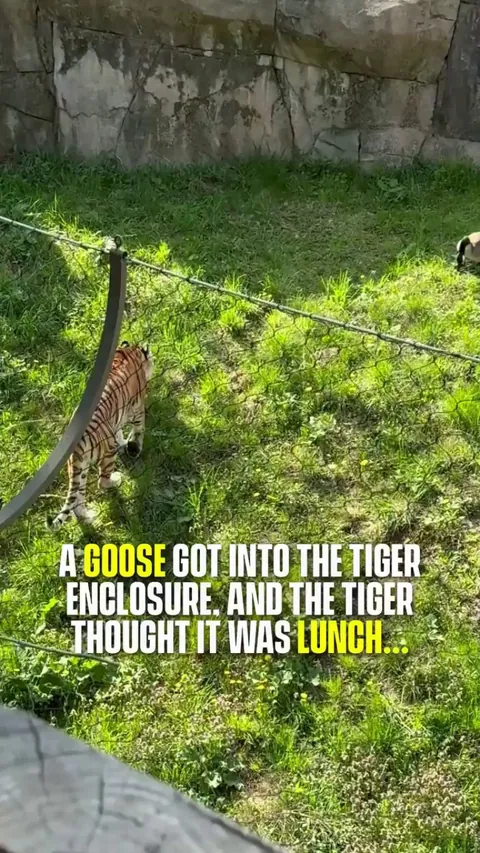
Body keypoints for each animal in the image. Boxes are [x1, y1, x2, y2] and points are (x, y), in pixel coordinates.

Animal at [47, 341, 154, 529]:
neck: (129, 352)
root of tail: (77, 444)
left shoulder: (117, 418)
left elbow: (119, 432)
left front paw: (124, 443)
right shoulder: (137, 409)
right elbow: (139, 430)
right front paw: (134, 447)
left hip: (79, 470)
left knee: (76, 500)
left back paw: (89, 517)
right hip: (107, 454)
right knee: (102, 481)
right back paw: (116, 479)